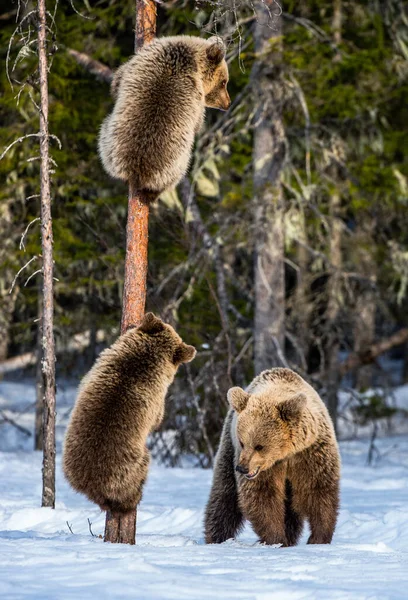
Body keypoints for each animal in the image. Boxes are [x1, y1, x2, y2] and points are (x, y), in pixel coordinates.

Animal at [204, 368, 342, 548]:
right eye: (242, 442)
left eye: (259, 446)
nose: (242, 468)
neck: (285, 453)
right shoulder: (264, 468)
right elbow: (263, 496)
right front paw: (276, 540)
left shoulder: (310, 453)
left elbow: (318, 490)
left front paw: (318, 539)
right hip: (228, 447)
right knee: (224, 495)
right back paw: (217, 537)